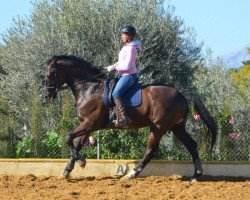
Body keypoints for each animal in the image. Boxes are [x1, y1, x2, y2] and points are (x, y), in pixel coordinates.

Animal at [45, 55, 217, 181]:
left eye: (49, 75)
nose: (47, 96)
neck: (89, 88)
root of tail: (180, 93)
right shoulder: (88, 126)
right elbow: (77, 144)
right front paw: (66, 171)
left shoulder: (90, 123)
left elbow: (68, 138)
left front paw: (81, 162)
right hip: (177, 127)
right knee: (191, 145)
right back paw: (196, 175)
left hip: (159, 127)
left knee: (151, 151)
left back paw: (131, 174)